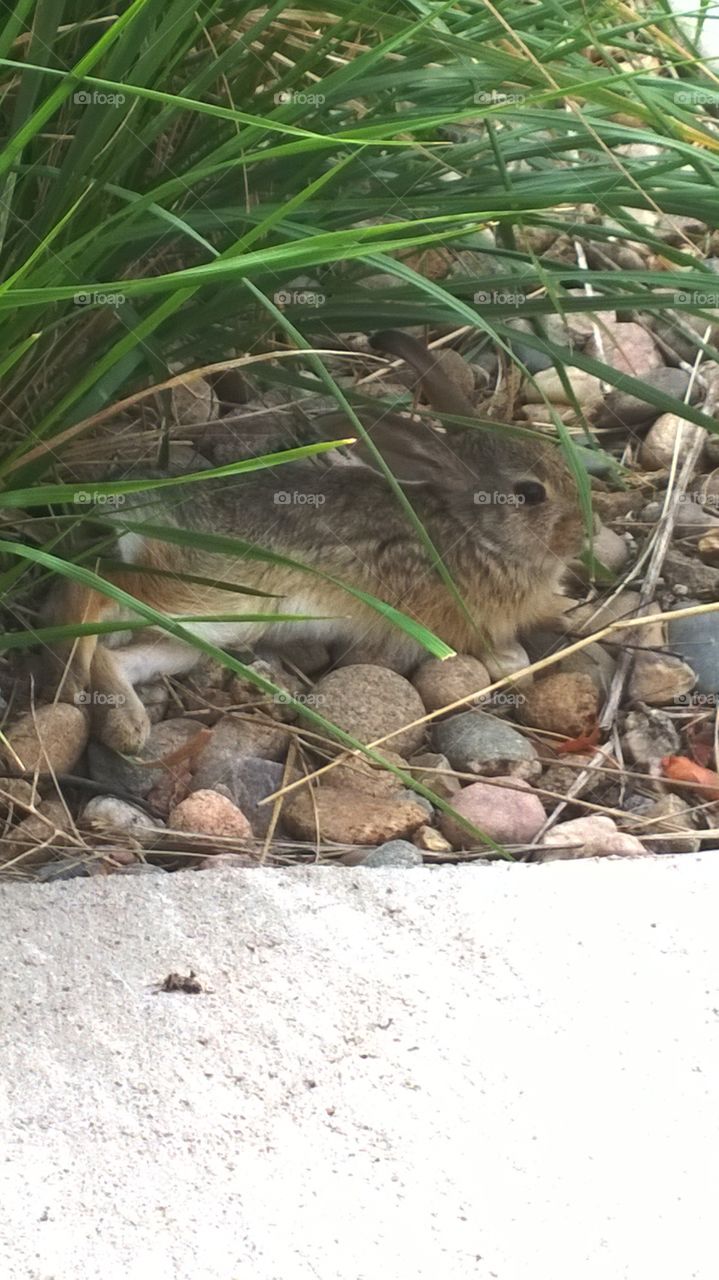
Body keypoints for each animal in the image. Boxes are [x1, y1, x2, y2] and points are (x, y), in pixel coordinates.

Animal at [46, 330, 583, 753]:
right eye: (530, 493)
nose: (577, 536)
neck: (471, 526)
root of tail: (139, 508)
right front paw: (532, 642)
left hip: (200, 636)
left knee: (121, 650)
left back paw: (129, 725)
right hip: (201, 594)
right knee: (92, 585)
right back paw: (74, 678)